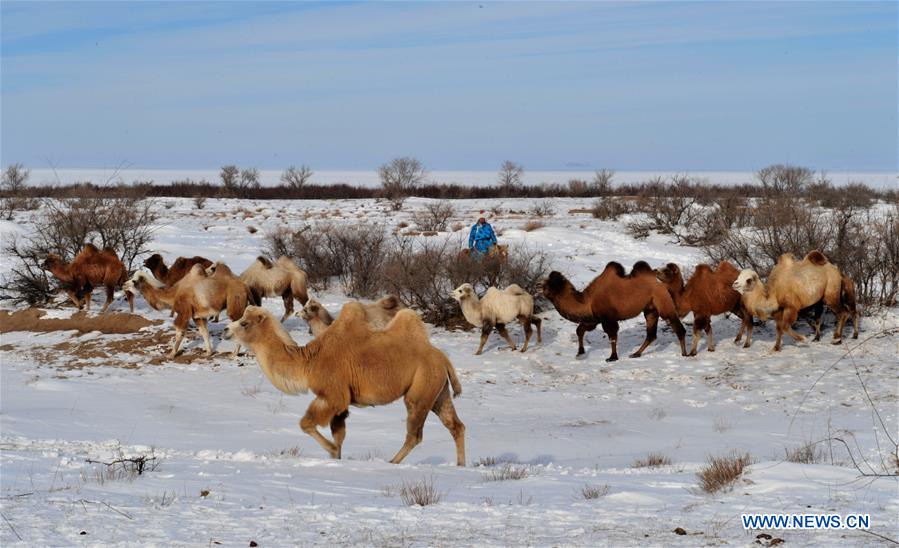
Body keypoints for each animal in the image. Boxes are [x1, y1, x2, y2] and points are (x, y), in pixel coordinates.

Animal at [123, 268, 253, 358]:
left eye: (133, 281)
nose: (124, 284)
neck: (173, 295)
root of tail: (245, 287)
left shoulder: (184, 312)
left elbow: (179, 331)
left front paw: (171, 355)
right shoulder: (198, 316)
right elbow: (204, 332)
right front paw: (208, 353)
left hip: (234, 305)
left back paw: (234, 354)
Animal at [224, 306, 468, 464]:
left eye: (244, 323)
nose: (226, 330)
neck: (309, 362)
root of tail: (443, 359)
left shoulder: (333, 394)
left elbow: (306, 423)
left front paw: (332, 453)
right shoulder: (342, 403)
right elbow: (338, 434)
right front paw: (336, 457)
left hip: (419, 390)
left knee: (415, 432)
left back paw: (392, 462)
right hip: (438, 391)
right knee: (456, 426)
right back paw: (460, 466)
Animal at [540, 262, 688, 362]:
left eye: (547, 285)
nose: (540, 288)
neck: (588, 300)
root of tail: (662, 284)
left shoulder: (608, 318)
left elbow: (612, 336)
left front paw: (612, 357)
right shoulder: (593, 319)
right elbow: (580, 330)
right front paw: (580, 353)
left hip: (663, 302)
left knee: (678, 327)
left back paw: (685, 353)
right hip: (650, 309)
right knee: (651, 334)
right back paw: (636, 354)